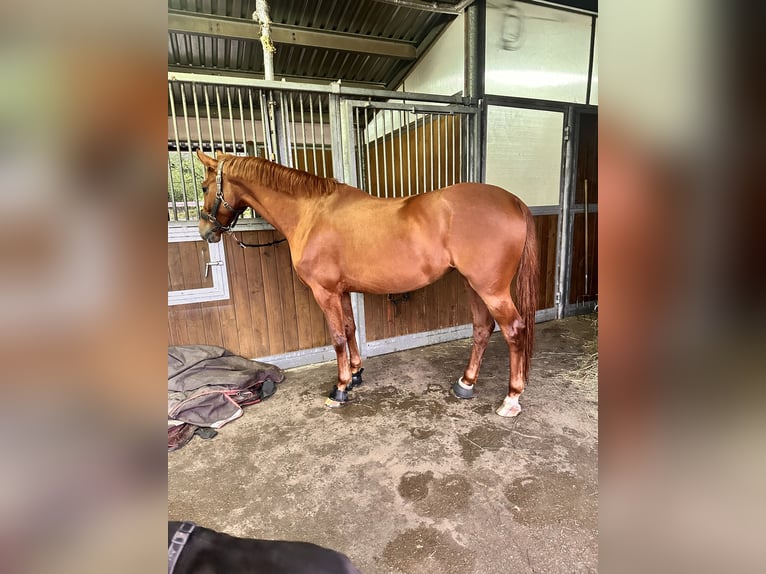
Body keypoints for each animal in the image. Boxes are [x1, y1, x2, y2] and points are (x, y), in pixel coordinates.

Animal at [196, 150, 538, 417]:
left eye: (204, 186)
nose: (204, 231)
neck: (312, 213)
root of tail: (513, 201)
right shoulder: (342, 290)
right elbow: (350, 329)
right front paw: (356, 373)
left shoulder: (324, 292)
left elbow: (336, 337)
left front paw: (340, 388)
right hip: (474, 286)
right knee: (482, 328)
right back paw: (466, 383)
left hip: (491, 289)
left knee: (513, 330)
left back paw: (511, 398)